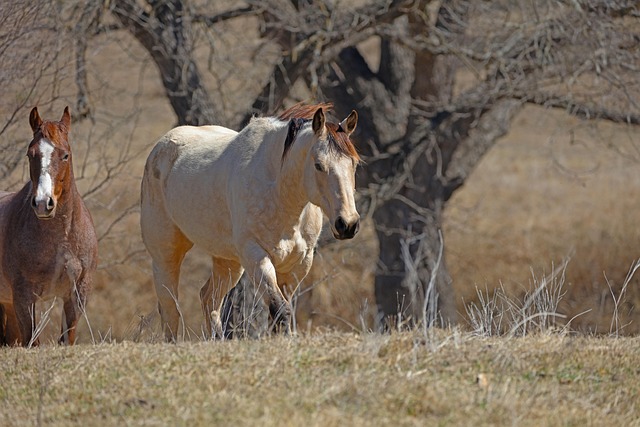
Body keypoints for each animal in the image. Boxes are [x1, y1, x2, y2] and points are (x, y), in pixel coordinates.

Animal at [0, 107, 97, 348]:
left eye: (65, 155)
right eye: (30, 154)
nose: (44, 203)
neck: (61, 240)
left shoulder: (76, 294)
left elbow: (67, 339)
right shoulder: (24, 298)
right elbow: (32, 341)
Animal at [141, 103, 360, 342]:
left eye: (354, 164)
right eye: (319, 165)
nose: (347, 224)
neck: (280, 196)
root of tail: (160, 148)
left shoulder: (299, 263)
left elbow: (282, 311)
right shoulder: (255, 255)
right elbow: (281, 309)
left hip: (228, 262)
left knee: (209, 299)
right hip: (166, 254)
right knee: (170, 309)